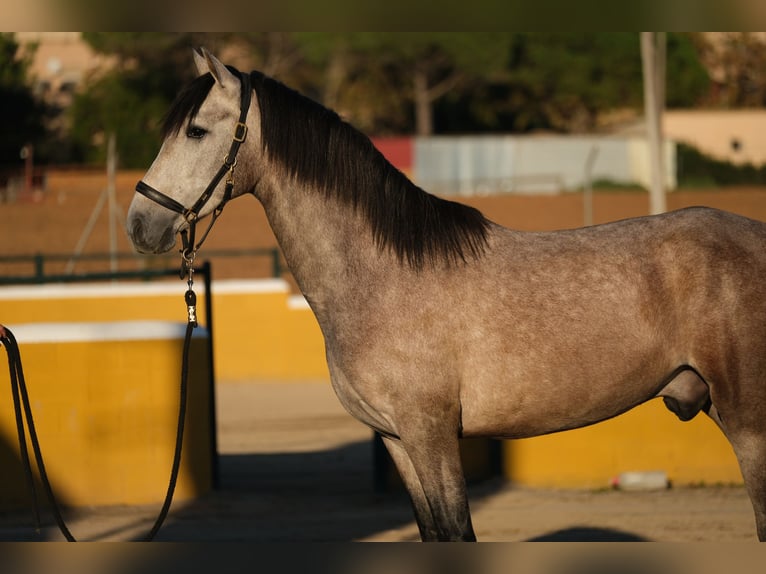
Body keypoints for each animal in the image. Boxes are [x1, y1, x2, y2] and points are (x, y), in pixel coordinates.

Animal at [129, 47, 766, 544]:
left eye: (196, 131)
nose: (139, 224)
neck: (383, 277)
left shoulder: (432, 435)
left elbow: (459, 532)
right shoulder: (397, 440)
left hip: (749, 422)